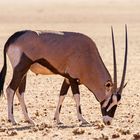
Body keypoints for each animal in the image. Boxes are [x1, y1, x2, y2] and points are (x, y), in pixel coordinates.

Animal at [0, 25, 128, 125]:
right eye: (110, 101)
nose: (108, 122)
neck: (88, 56)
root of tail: (13, 37)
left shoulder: (67, 78)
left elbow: (62, 95)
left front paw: (57, 119)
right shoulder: (72, 78)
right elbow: (77, 96)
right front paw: (82, 119)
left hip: (24, 72)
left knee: (20, 92)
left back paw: (29, 120)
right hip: (20, 69)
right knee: (10, 89)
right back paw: (12, 120)